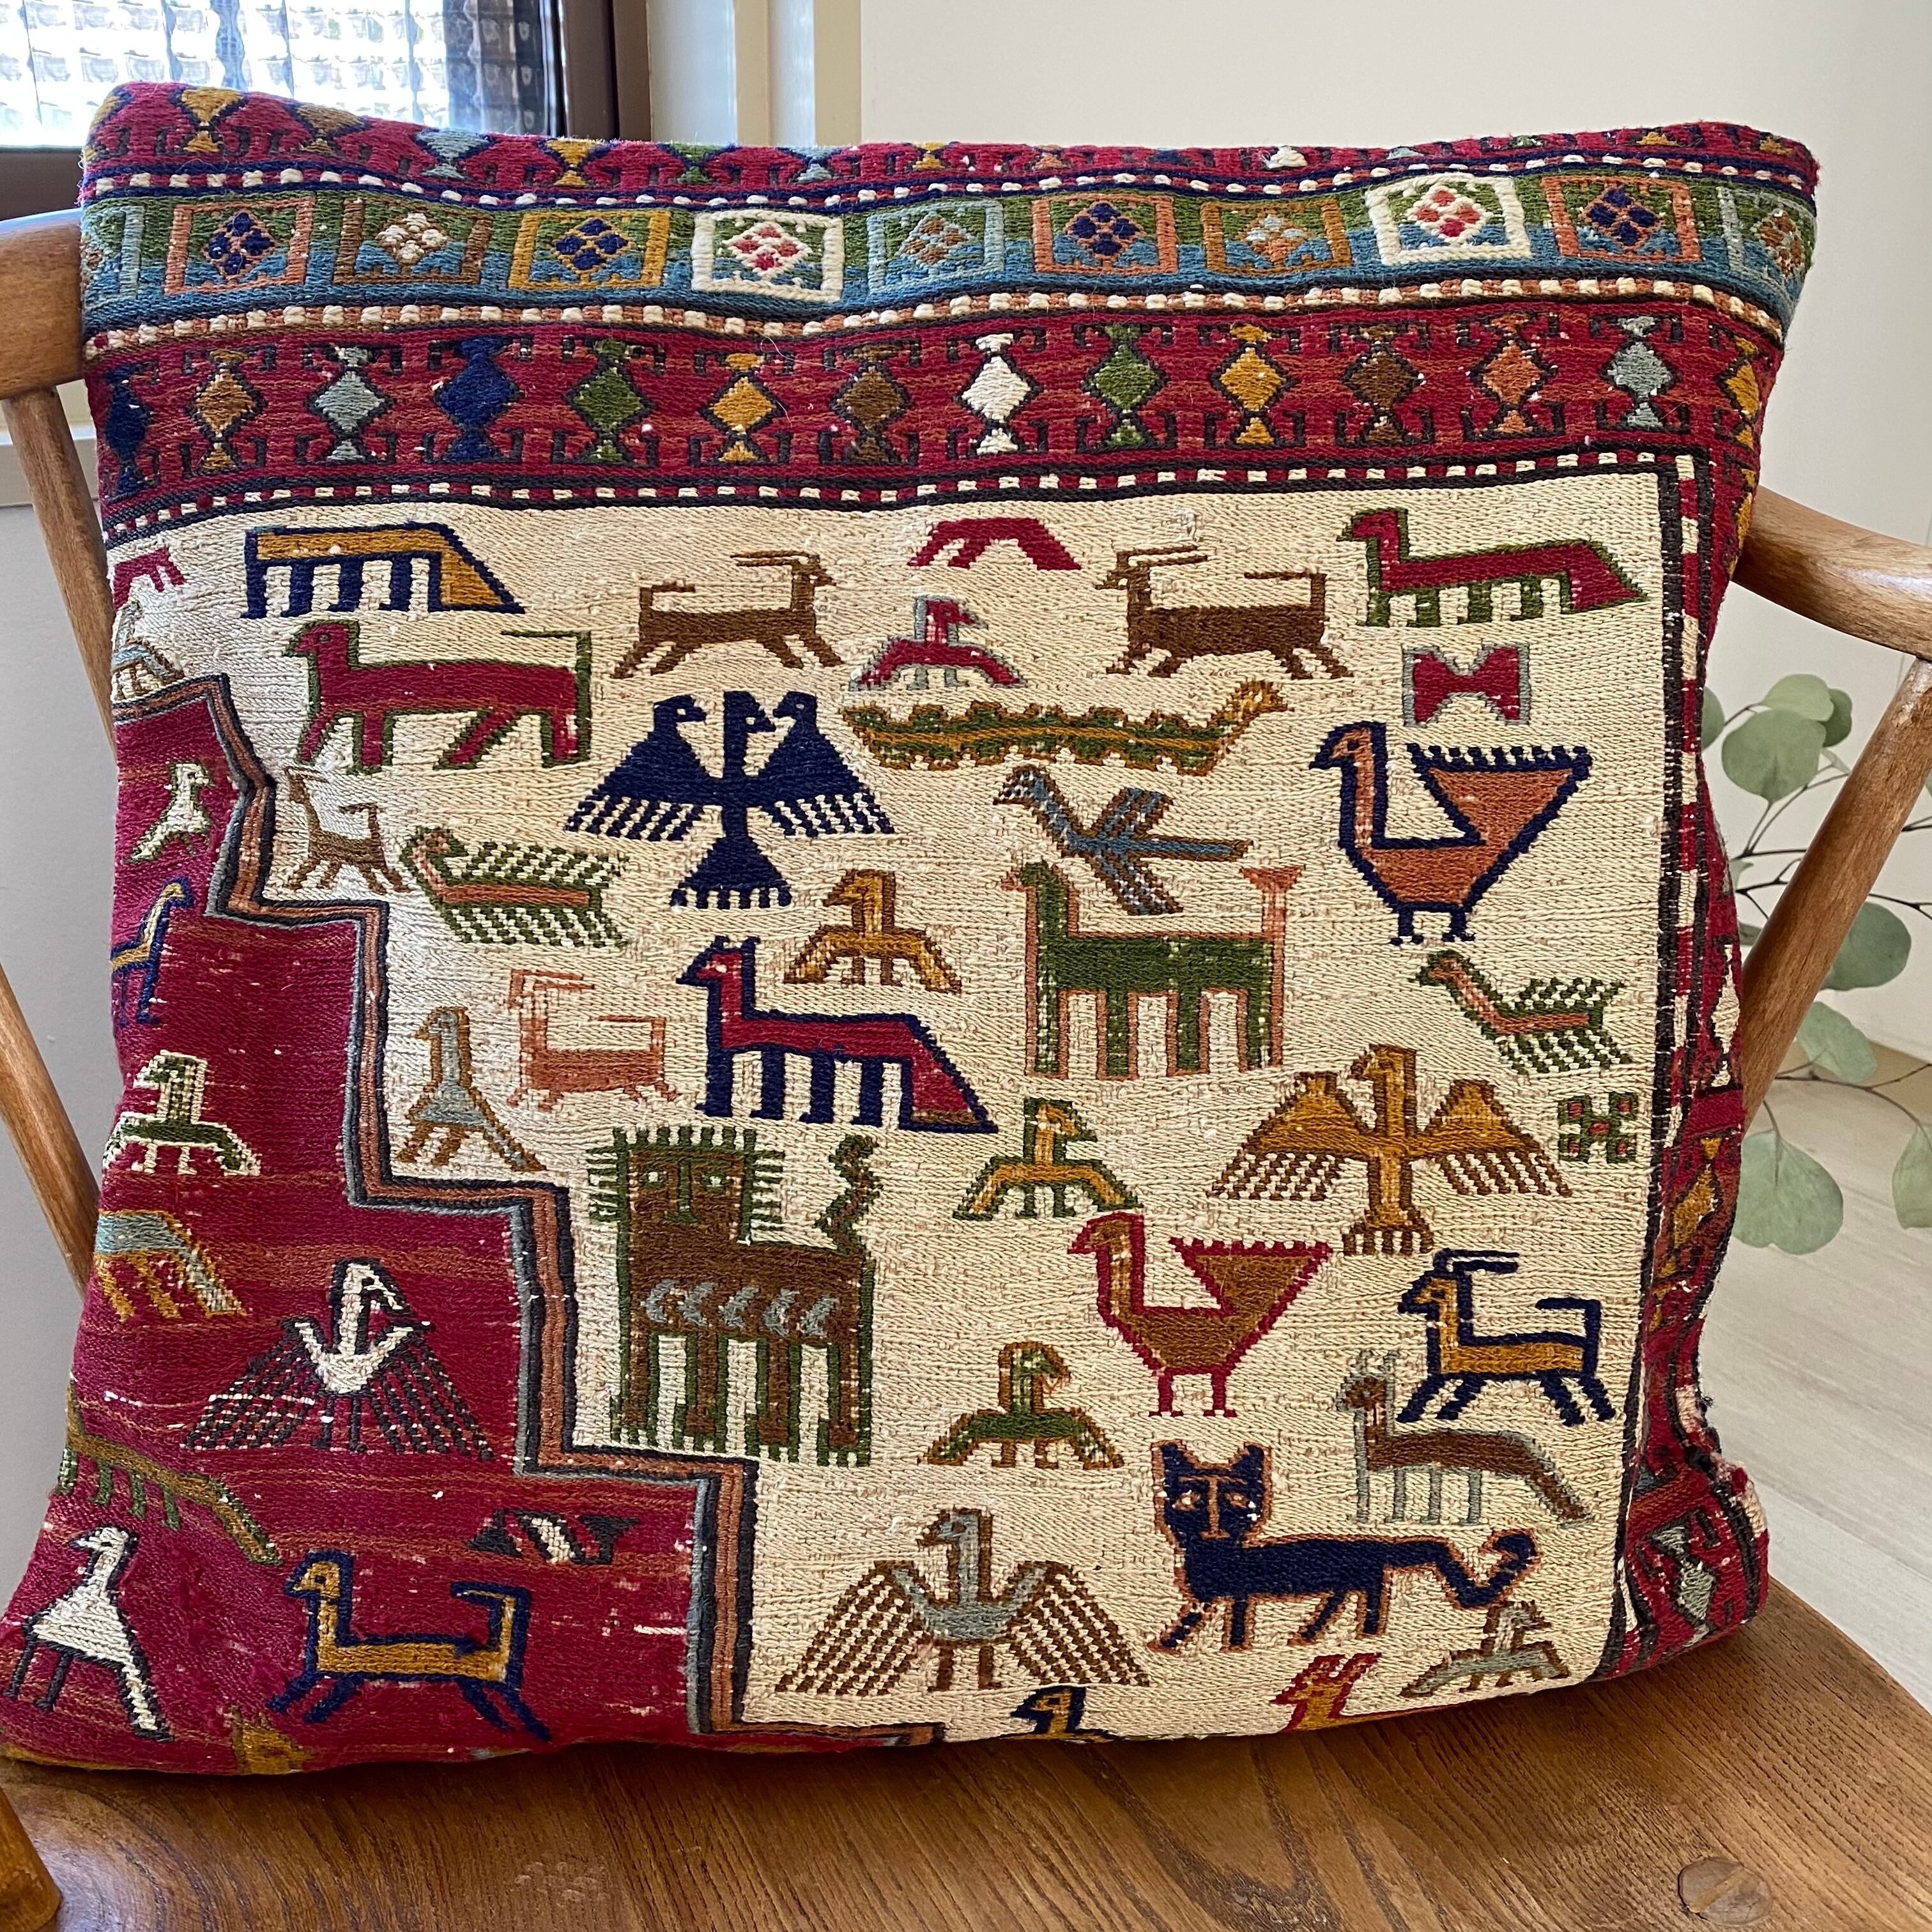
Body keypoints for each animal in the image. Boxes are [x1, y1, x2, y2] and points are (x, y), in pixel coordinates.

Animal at [1152, 1441, 1538, 1649]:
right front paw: (1169, 1642)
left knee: (1365, 1603)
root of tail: (1374, 1543)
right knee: (1341, 1602)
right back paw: (1309, 1634)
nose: (1214, 1531)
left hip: (1365, 1577)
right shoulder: (1213, 1597)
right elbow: (1191, 1622)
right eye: (1189, 1500)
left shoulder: (1237, 1595)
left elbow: (1227, 1627)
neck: (1218, 1558)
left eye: (1237, 1500)